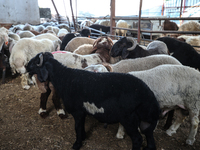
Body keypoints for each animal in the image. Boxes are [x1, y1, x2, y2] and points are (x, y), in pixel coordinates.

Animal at [27, 51, 161, 150]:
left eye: (34, 62)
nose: (25, 66)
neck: (65, 78)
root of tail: (149, 96)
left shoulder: (77, 111)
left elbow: (77, 128)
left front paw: (77, 144)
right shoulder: (82, 111)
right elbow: (81, 127)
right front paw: (83, 138)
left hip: (129, 119)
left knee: (138, 139)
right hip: (145, 119)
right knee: (149, 135)